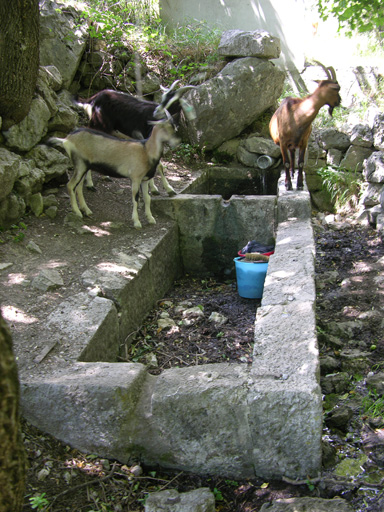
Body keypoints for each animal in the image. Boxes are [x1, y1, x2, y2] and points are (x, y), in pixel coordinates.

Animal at [49, 118, 180, 230]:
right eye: (167, 128)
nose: (177, 141)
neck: (146, 151)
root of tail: (66, 140)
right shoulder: (135, 178)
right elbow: (136, 199)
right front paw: (137, 222)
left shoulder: (145, 179)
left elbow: (147, 198)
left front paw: (151, 218)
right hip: (80, 164)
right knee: (70, 185)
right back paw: (77, 212)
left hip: (83, 167)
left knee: (78, 187)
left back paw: (86, 210)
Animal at [268, 63, 340, 191]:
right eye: (337, 89)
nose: (339, 101)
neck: (296, 116)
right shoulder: (282, 142)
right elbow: (285, 162)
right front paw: (288, 184)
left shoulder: (304, 141)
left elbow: (301, 162)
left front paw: (300, 184)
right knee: (290, 157)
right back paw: (290, 175)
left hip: (293, 144)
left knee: (293, 154)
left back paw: (293, 173)